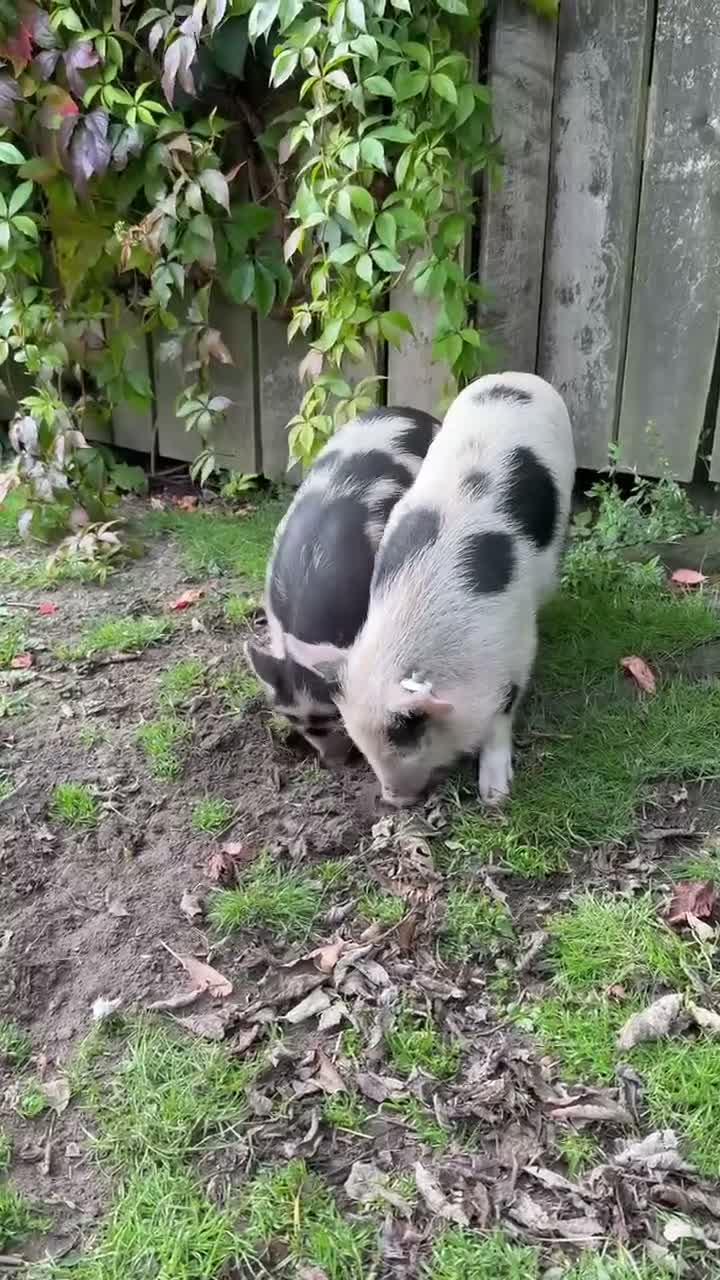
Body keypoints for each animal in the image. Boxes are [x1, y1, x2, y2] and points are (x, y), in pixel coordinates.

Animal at [285, 373, 575, 804]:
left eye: (408, 735)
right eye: (362, 743)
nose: (393, 799)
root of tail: (515, 378)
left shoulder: (517, 645)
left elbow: (502, 711)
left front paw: (495, 796)